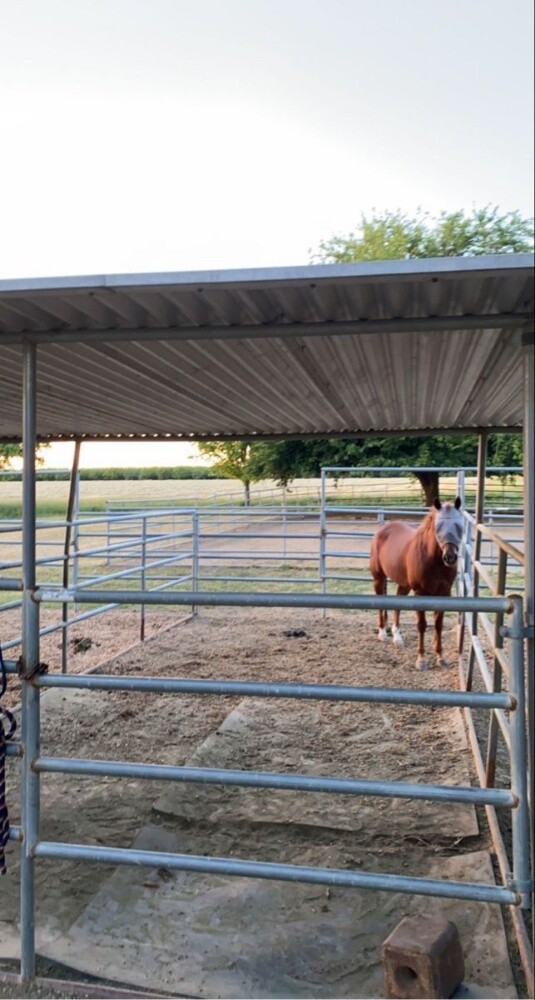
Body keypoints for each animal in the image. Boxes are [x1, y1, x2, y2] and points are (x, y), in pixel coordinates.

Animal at [369, 498, 464, 669]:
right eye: (438, 526)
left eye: (458, 524)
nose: (450, 557)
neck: (432, 559)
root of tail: (383, 529)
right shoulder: (419, 592)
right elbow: (422, 625)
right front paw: (421, 660)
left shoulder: (444, 593)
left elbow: (438, 624)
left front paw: (440, 657)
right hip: (379, 578)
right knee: (380, 602)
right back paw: (383, 634)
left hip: (404, 585)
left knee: (398, 603)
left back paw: (397, 638)